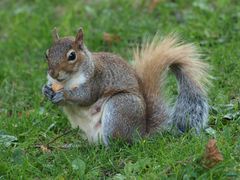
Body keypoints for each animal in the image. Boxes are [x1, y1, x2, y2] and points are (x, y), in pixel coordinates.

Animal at [42, 27, 210, 144]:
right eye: (47, 54)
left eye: (72, 56)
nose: (53, 73)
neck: (66, 81)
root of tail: (141, 133)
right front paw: (45, 90)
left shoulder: (96, 80)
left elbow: (86, 97)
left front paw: (65, 94)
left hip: (120, 107)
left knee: (117, 143)